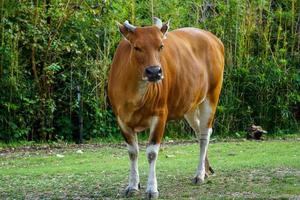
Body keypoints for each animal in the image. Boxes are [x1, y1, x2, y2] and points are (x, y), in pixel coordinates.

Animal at [107, 17, 223, 198]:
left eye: (161, 46)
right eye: (136, 47)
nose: (154, 72)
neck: (135, 95)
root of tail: (214, 40)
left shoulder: (160, 116)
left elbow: (151, 153)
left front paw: (151, 189)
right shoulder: (121, 120)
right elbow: (133, 152)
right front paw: (133, 185)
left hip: (211, 97)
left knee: (205, 134)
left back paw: (199, 175)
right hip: (189, 105)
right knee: (199, 132)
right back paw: (206, 170)